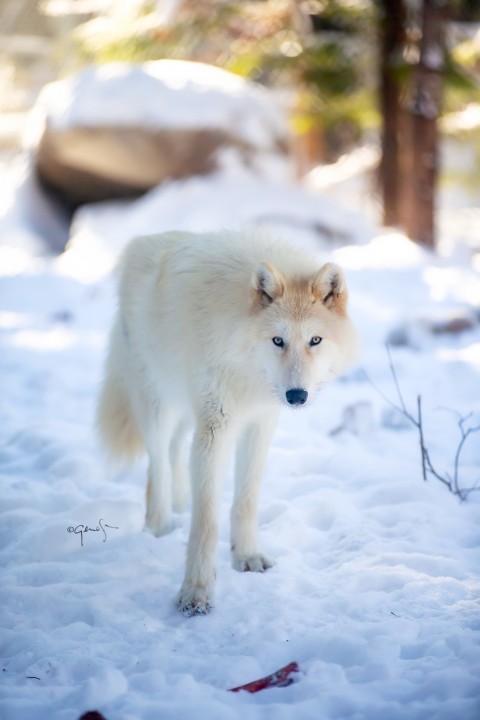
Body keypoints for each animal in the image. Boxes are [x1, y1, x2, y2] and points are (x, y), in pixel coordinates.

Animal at [96, 229, 356, 612]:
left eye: (315, 340)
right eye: (278, 340)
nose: (296, 396)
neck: (245, 365)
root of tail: (139, 243)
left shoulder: (259, 423)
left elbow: (245, 500)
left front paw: (246, 557)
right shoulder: (215, 427)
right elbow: (206, 520)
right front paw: (196, 593)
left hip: (186, 409)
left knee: (175, 452)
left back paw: (179, 502)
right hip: (157, 405)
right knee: (157, 463)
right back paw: (159, 523)